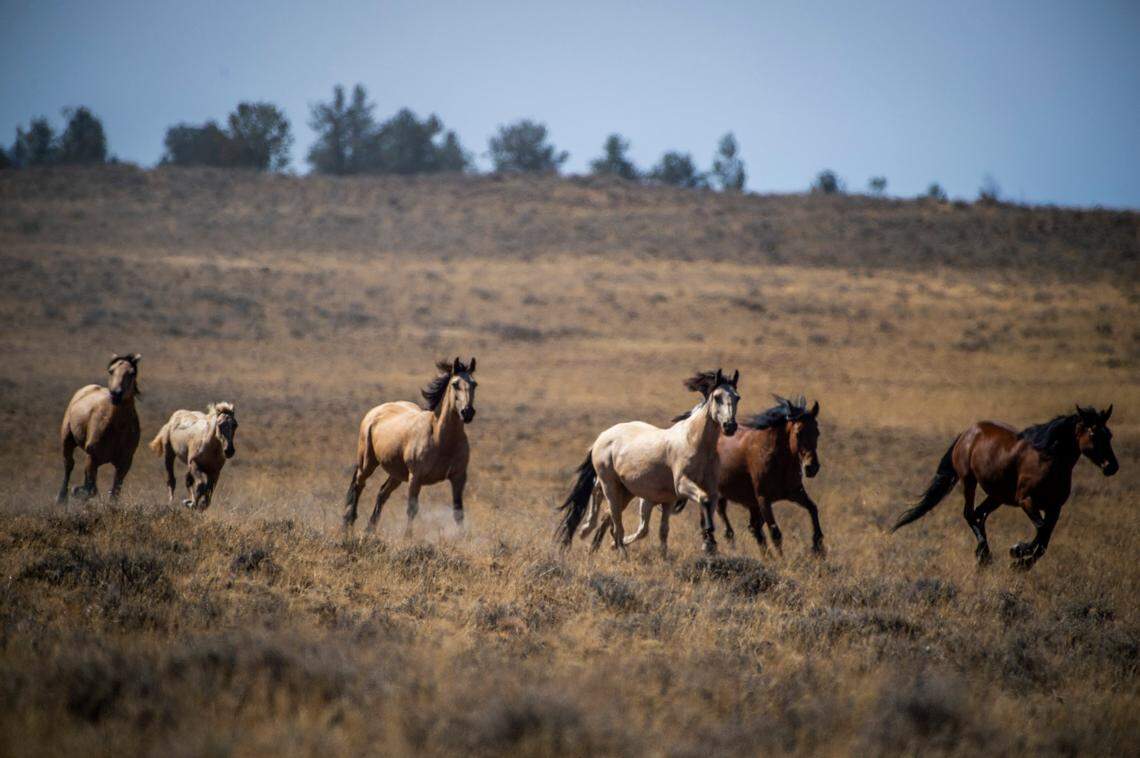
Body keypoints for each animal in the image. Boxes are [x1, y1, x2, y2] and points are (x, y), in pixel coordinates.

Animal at [57, 353, 142, 502]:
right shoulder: (93, 457)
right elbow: (91, 489)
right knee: (69, 465)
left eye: (132, 373)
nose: (116, 394)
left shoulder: (124, 463)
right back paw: (62, 498)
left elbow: (113, 493)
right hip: (67, 439)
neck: (117, 428)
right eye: (111, 371)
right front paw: (76, 491)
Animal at [345, 357, 477, 535]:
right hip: (368, 463)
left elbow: (458, 511)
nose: (467, 412)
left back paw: (369, 530)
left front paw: (463, 538)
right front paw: (407, 538)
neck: (440, 439)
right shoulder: (416, 477)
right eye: (455, 384)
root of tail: (376, 411)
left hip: (397, 474)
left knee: (382, 493)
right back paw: (349, 522)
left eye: (474, 384)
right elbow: (412, 509)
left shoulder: (458, 477)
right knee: (359, 485)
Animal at [556, 369, 740, 557]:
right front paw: (709, 540)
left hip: (626, 490)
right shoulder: (681, 484)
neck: (694, 442)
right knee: (614, 518)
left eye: (737, 397)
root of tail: (602, 436)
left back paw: (591, 535)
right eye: (717, 397)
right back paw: (614, 547)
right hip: (611, 486)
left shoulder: (678, 496)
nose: (730, 426)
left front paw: (701, 544)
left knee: (603, 504)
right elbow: (703, 499)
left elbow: (665, 529)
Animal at [607, 395, 826, 556]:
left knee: (751, 527)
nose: (812, 467)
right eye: (798, 433)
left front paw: (818, 547)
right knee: (725, 524)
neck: (775, 455)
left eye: (817, 432)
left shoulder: (794, 492)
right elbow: (775, 532)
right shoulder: (763, 499)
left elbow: (813, 509)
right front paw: (781, 558)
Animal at [890, 405, 1118, 569]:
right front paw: (1017, 551)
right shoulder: (1026, 501)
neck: (1047, 459)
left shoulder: (1055, 508)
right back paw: (985, 553)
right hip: (969, 481)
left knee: (979, 514)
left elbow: (1045, 540)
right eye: (1093, 434)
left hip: (997, 495)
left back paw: (983, 554)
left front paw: (1022, 563)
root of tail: (967, 432)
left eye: (1109, 435)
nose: (1112, 466)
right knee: (969, 513)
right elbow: (1041, 529)